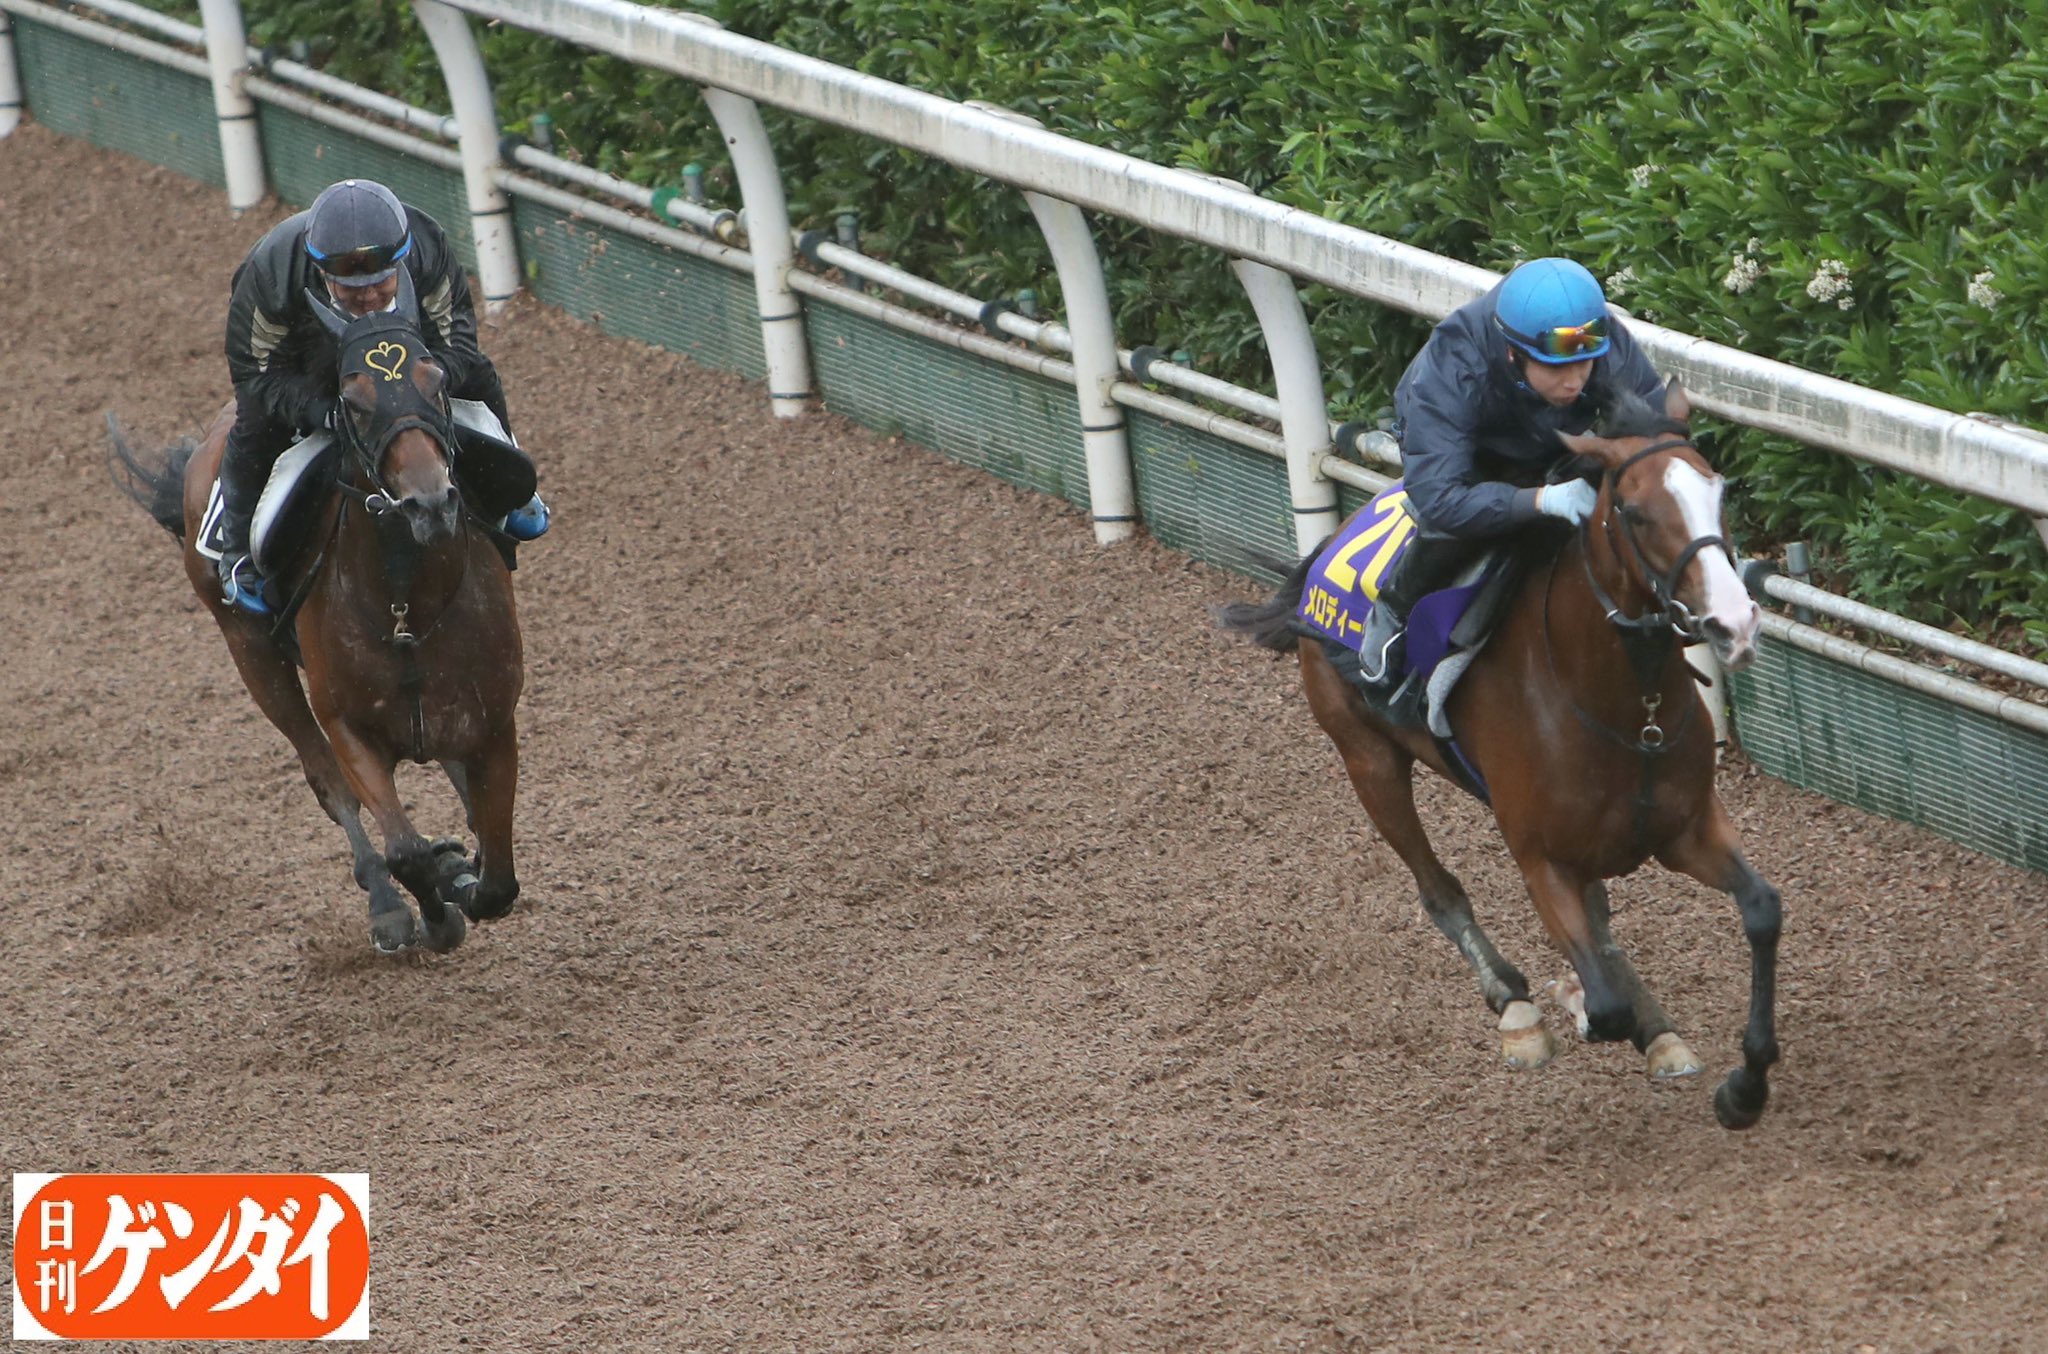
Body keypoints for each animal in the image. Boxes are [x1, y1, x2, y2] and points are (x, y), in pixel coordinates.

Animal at [109, 277, 526, 955]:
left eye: (437, 380)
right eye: (352, 403)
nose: (430, 503)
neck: (408, 605)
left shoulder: (493, 723)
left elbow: (497, 880)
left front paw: (464, 873)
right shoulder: (349, 726)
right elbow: (403, 845)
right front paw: (434, 904)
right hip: (253, 656)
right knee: (327, 781)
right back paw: (387, 903)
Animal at [1219, 379, 1782, 1129]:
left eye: (1716, 491)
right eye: (1633, 512)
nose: (1733, 622)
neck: (1622, 706)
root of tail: (1332, 542)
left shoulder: (1686, 828)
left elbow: (1761, 910)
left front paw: (1743, 1088)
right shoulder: (1539, 859)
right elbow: (1602, 1003)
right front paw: (1573, 1005)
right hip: (1367, 758)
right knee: (1438, 890)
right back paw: (1516, 1005)